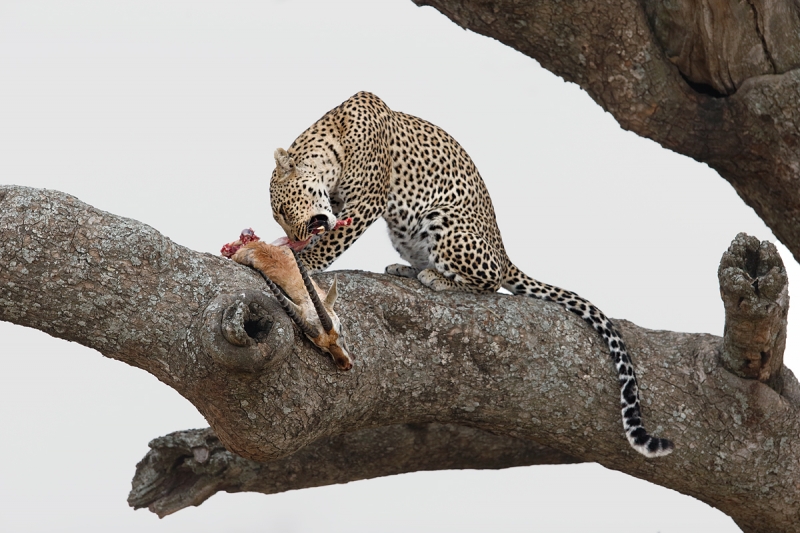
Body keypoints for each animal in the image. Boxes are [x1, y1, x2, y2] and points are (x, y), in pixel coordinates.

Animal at [268, 91, 676, 458]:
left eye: (284, 211)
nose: (293, 236)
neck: (332, 143)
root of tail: (503, 252)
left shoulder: (367, 201)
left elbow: (332, 243)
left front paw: (300, 258)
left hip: (445, 221)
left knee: (490, 282)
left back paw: (437, 278)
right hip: (404, 234)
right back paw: (408, 268)